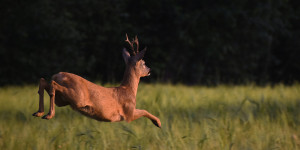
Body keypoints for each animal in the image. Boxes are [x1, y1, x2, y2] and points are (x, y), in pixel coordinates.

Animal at [31, 34, 161, 127]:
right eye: (143, 62)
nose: (150, 70)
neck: (129, 89)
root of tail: (58, 75)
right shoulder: (128, 113)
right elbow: (144, 110)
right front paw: (158, 123)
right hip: (77, 97)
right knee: (52, 85)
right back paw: (48, 114)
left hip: (63, 100)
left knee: (43, 81)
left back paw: (39, 112)